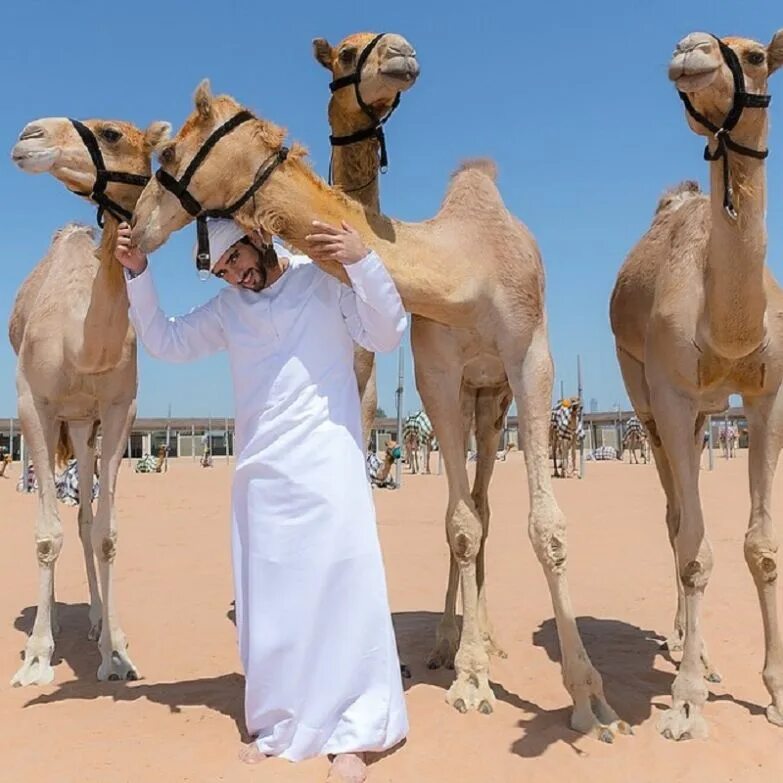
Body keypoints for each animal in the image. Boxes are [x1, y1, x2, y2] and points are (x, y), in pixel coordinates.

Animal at [8, 116, 170, 688]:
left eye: (112, 133)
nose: (28, 135)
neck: (81, 342)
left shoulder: (122, 409)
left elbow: (105, 533)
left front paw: (116, 653)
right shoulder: (32, 403)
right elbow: (44, 535)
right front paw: (37, 658)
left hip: (83, 424)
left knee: (84, 517)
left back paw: (98, 620)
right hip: (61, 418)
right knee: (57, 518)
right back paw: (49, 622)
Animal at [132, 79, 628, 740]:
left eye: (167, 155)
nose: (135, 222)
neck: (466, 273)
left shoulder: (533, 360)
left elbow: (545, 526)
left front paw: (590, 700)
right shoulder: (436, 375)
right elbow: (460, 524)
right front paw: (471, 680)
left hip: (494, 400)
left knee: (489, 501)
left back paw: (492, 640)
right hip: (469, 397)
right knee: (473, 512)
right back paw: (453, 643)